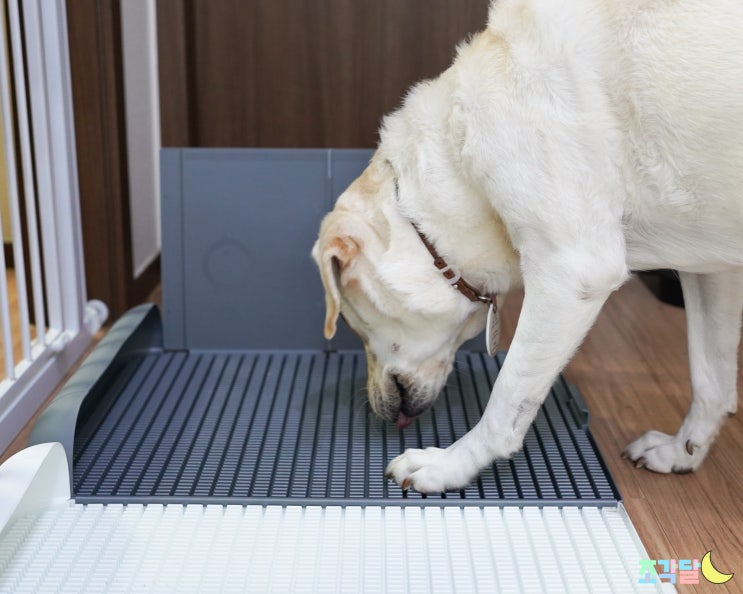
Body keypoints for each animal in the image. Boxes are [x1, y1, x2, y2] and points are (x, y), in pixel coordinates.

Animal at [310, 0, 740, 490]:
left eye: (354, 321)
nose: (377, 408)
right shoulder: (712, 269)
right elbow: (711, 378)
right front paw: (684, 451)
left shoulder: (573, 274)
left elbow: (508, 398)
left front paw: (448, 465)